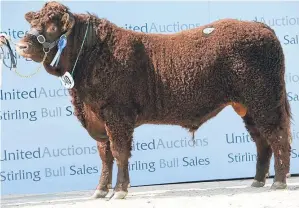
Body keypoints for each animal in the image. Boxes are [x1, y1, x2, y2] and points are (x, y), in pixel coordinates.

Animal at [16, 1, 292, 200]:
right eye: (34, 21)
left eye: (52, 26)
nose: (21, 46)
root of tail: (258, 26)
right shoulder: (98, 118)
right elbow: (105, 155)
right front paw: (101, 190)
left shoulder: (117, 114)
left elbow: (119, 152)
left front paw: (120, 191)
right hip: (247, 106)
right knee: (261, 140)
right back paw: (257, 180)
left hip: (264, 99)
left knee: (277, 136)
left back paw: (278, 182)